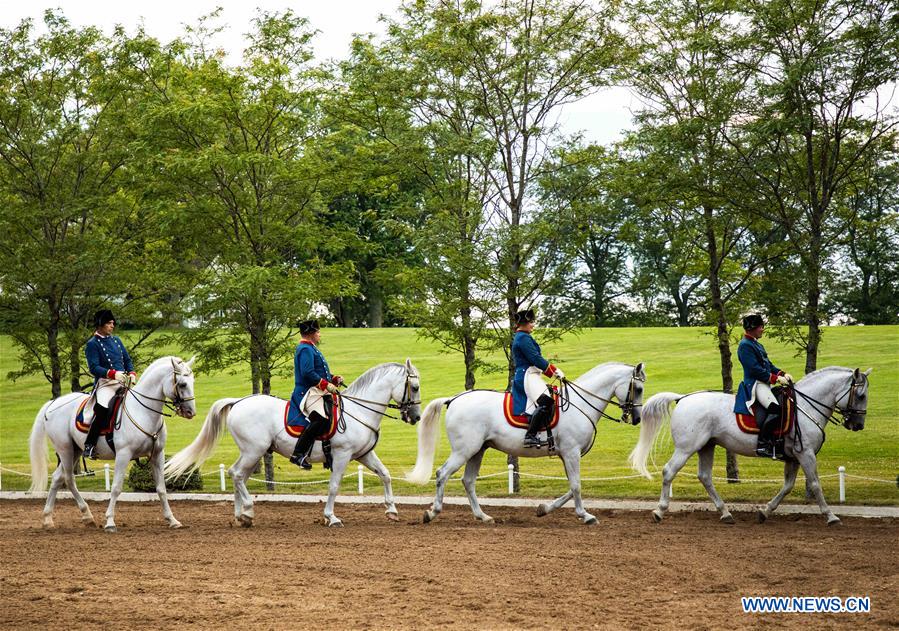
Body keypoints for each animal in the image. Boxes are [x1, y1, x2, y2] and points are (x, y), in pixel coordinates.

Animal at [28, 358, 197, 532]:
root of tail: (53, 403)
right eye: (182, 384)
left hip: (76, 450)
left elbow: (161, 489)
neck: (143, 412)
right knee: (68, 479)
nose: (191, 412)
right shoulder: (123, 455)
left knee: (57, 478)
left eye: (192, 381)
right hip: (65, 450)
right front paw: (110, 522)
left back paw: (52, 519)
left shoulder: (158, 454)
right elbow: (116, 488)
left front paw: (172, 520)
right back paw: (83, 515)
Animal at [165, 360, 422, 528]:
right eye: (415, 387)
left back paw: (241, 516)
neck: (358, 410)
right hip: (253, 450)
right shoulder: (342, 455)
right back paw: (247, 511)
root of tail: (239, 401)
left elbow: (385, 475)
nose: (416, 417)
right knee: (236, 474)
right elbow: (334, 486)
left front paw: (392, 510)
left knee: (238, 475)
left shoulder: (363, 454)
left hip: (253, 452)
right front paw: (331, 517)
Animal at [408, 362, 648, 524]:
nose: (637, 418)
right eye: (638, 389)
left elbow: (572, 486)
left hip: (477, 450)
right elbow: (576, 486)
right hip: (464, 450)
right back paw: (432, 512)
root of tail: (454, 399)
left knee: (468, 481)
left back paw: (483, 516)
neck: (580, 404)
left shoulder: (566, 455)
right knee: (442, 474)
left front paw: (544, 508)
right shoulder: (571, 453)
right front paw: (585, 515)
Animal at [632, 368, 872, 524]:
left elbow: (787, 486)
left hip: (706, 446)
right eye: (861, 396)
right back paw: (659, 511)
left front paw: (765, 512)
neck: (805, 406)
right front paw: (831, 516)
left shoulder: (794, 457)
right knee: (669, 471)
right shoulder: (806, 454)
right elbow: (814, 484)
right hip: (686, 448)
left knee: (705, 477)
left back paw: (725, 513)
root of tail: (683, 398)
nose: (858, 425)